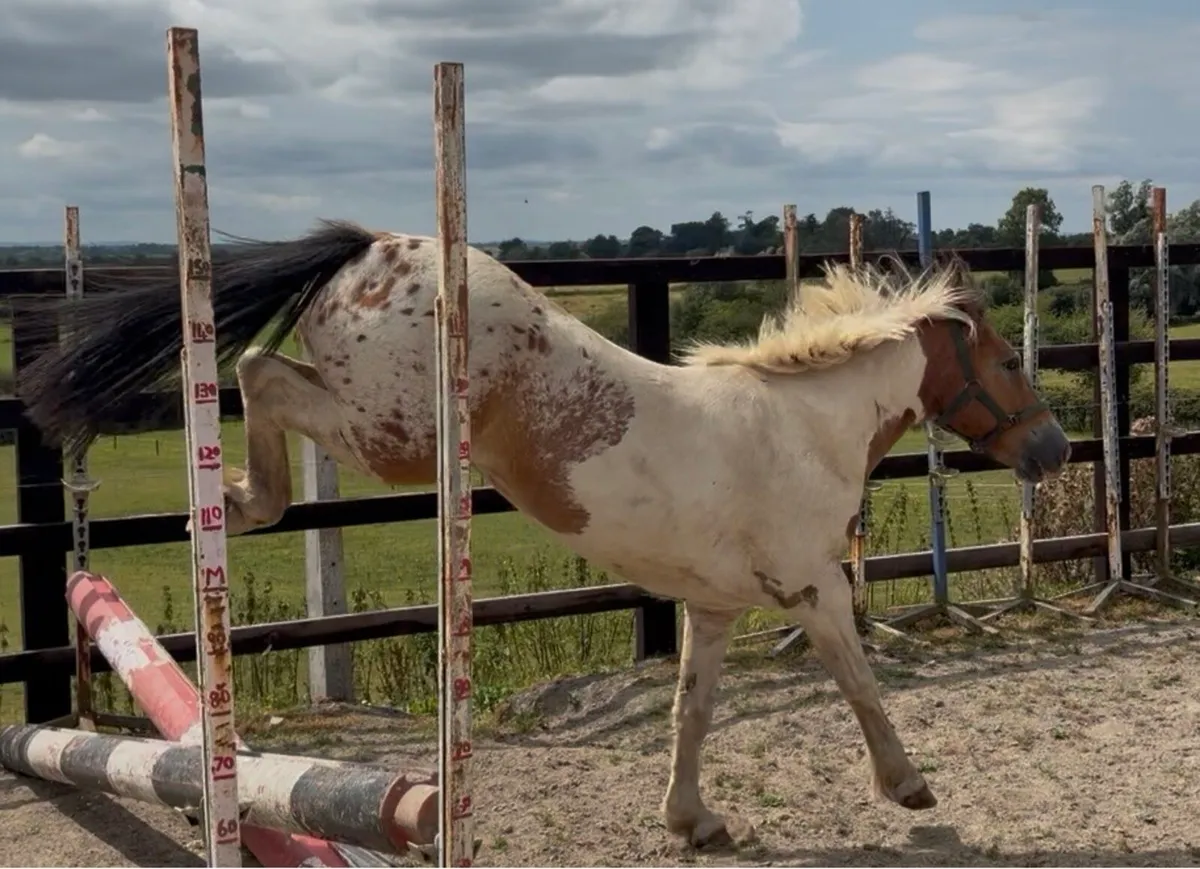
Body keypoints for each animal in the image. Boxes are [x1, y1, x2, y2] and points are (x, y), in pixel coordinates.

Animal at [18, 220, 1070, 848]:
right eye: (1010, 360)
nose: (1053, 448)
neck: (805, 426)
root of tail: (371, 247)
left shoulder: (715, 607)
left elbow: (691, 713)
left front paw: (692, 819)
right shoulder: (815, 589)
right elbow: (861, 687)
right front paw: (911, 788)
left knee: (260, 372)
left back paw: (233, 502)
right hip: (396, 431)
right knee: (256, 372)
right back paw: (240, 500)